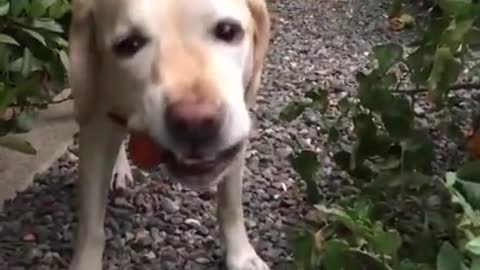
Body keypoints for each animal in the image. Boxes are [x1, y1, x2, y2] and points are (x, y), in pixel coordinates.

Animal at [67, 0, 270, 270]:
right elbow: (91, 224)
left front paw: (242, 256)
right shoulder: (95, 125)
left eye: (228, 30)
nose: (196, 123)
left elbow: (231, 204)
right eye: (128, 44)